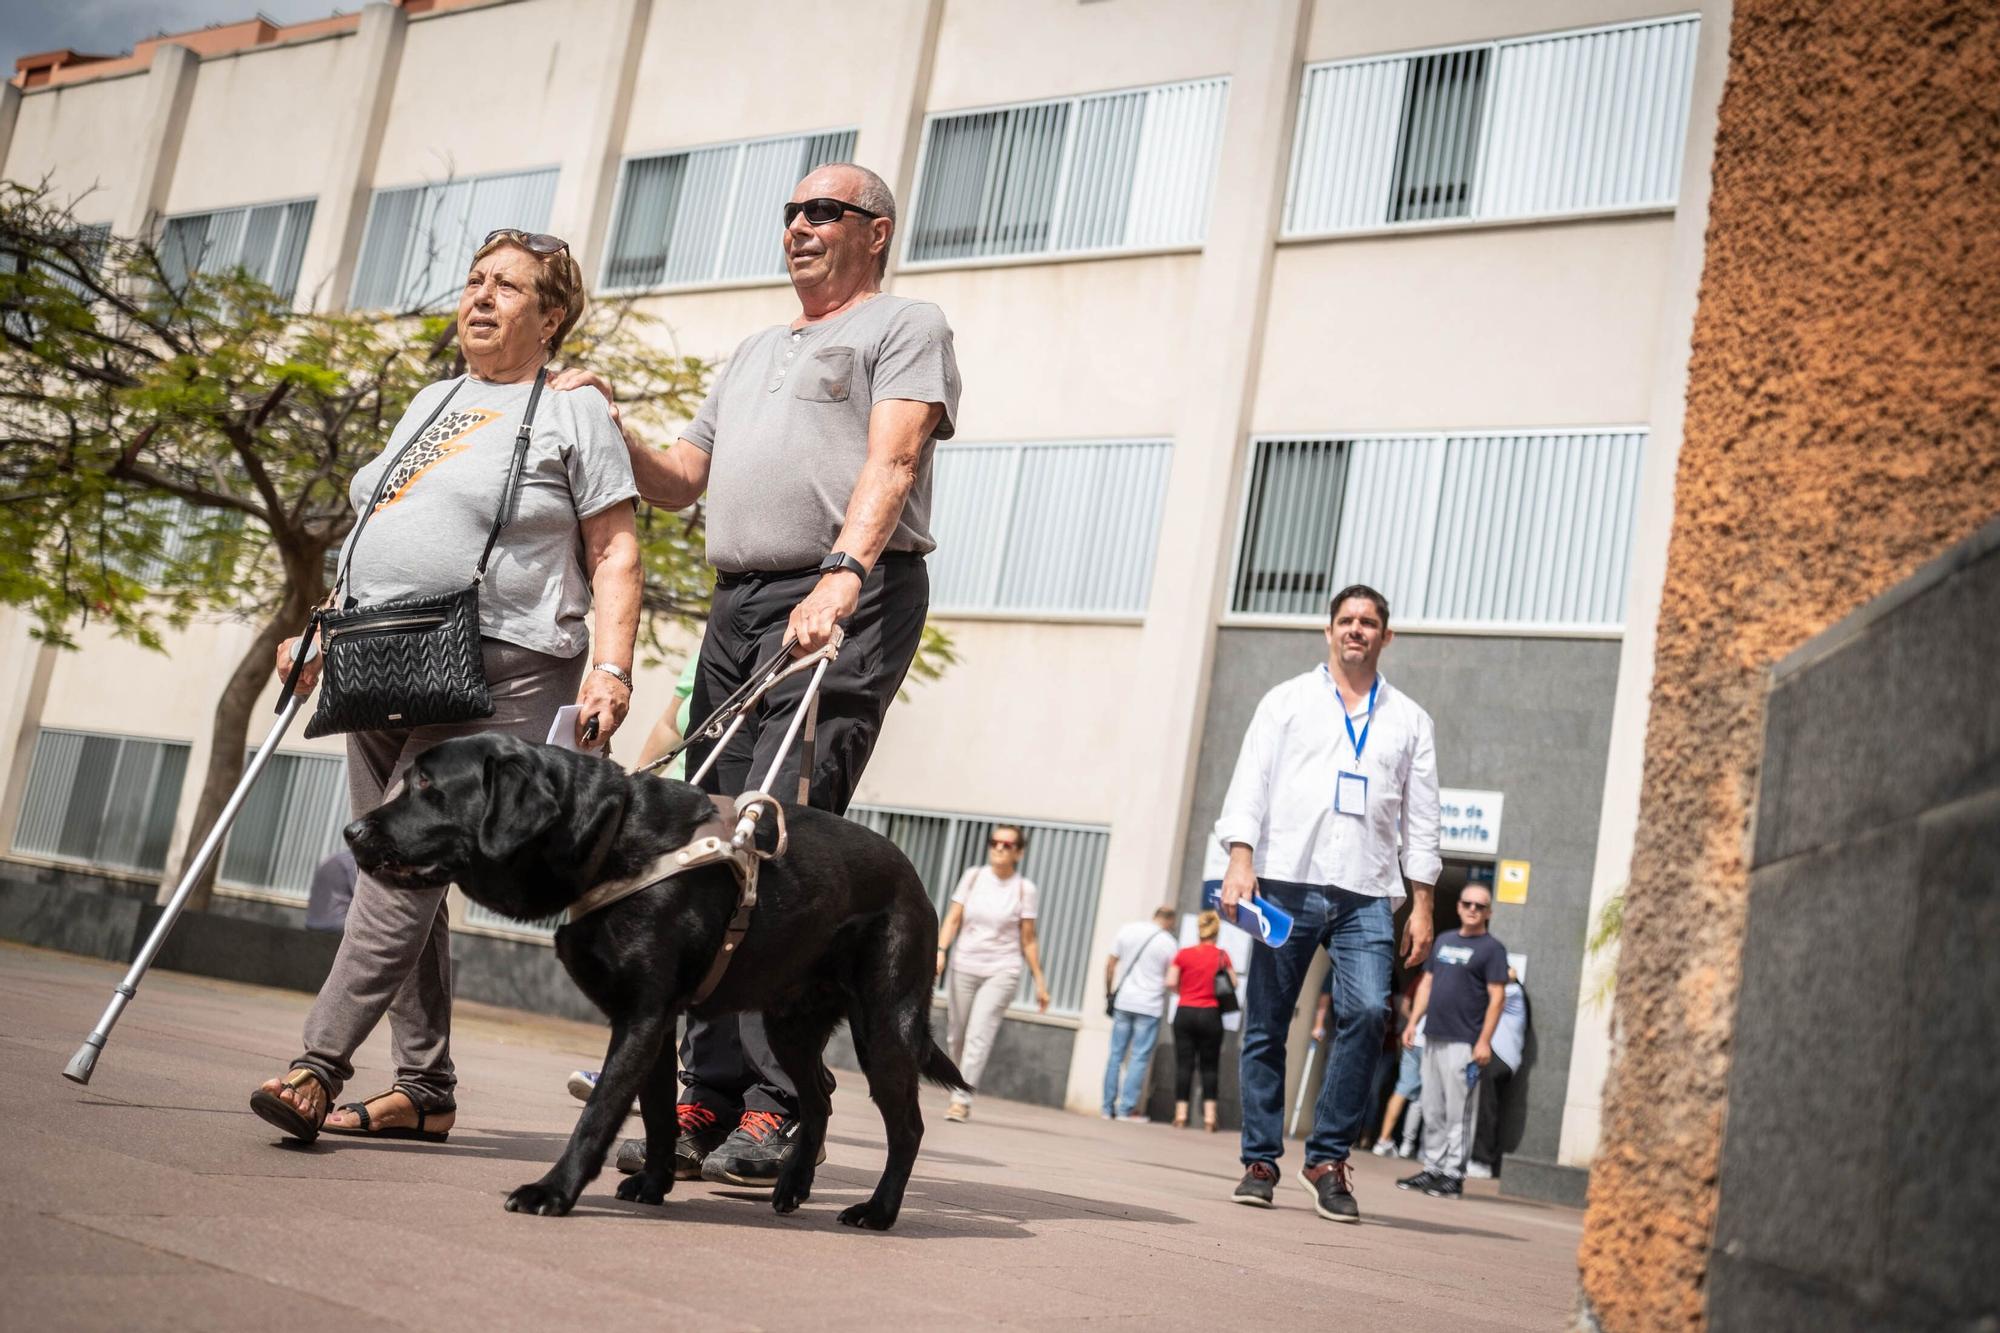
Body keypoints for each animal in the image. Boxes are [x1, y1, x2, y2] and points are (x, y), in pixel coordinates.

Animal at [348, 728, 972, 1224]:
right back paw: (794, 1186)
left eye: (426, 785)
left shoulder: (643, 1017)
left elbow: (600, 1112)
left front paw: (552, 1192)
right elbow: (655, 1113)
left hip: (884, 1027)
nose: (353, 831)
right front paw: (654, 1182)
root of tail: (914, 878)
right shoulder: (655, 1019)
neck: (611, 837)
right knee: (818, 1097)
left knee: (906, 1127)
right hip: (788, 1026)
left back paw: (879, 1210)